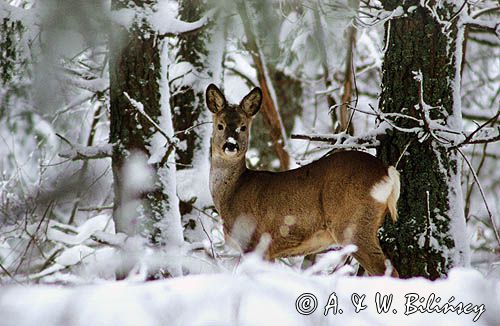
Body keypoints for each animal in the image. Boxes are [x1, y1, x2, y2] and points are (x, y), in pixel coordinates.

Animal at [205, 84, 400, 278]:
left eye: (243, 127)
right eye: (220, 125)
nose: (231, 145)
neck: (232, 192)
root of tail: (386, 171)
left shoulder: (253, 241)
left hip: (352, 223)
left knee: (387, 270)